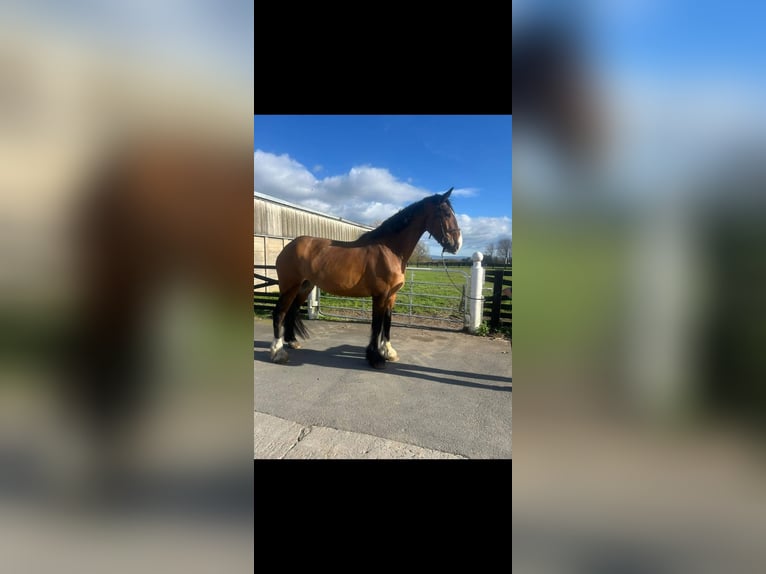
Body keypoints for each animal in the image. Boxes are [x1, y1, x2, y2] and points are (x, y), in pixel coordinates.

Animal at [270, 188, 462, 369]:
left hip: (305, 286)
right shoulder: (380, 295)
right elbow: (376, 325)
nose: (457, 244)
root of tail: (289, 246)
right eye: (446, 213)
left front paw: (388, 352)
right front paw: (375, 358)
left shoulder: (392, 296)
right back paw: (277, 352)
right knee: (279, 312)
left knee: (291, 311)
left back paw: (292, 342)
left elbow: (387, 322)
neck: (389, 250)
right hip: (290, 287)